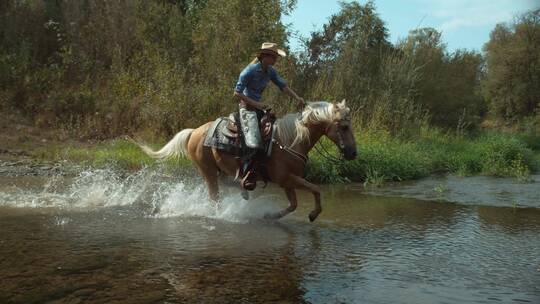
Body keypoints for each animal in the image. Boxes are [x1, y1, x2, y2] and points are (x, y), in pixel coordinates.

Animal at [135, 101, 356, 222]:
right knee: (214, 198)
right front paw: (313, 214)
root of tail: (194, 132)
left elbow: (293, 204)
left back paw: (244, 189)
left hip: (220, 171)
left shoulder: (287, 181)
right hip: (207, 171)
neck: (291, 140)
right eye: (344, 127)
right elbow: (316, 189)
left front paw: (270, 216)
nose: (353, 153)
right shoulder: (286, 179)